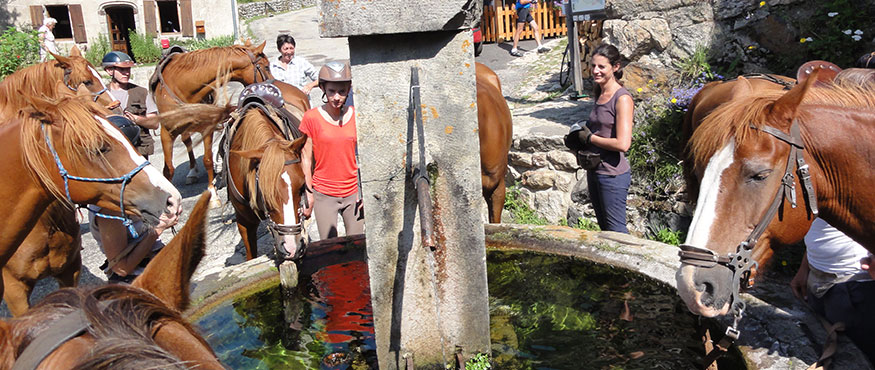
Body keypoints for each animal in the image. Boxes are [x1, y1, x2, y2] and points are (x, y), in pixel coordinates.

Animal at [151, 42, 274, 208]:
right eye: (266, 66)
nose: (275, 83)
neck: (183, 86)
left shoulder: (206, 129)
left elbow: (208, 160)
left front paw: (213, 195)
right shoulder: (167, 132)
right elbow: (168, 169)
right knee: (186, 141)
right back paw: (192, 171)